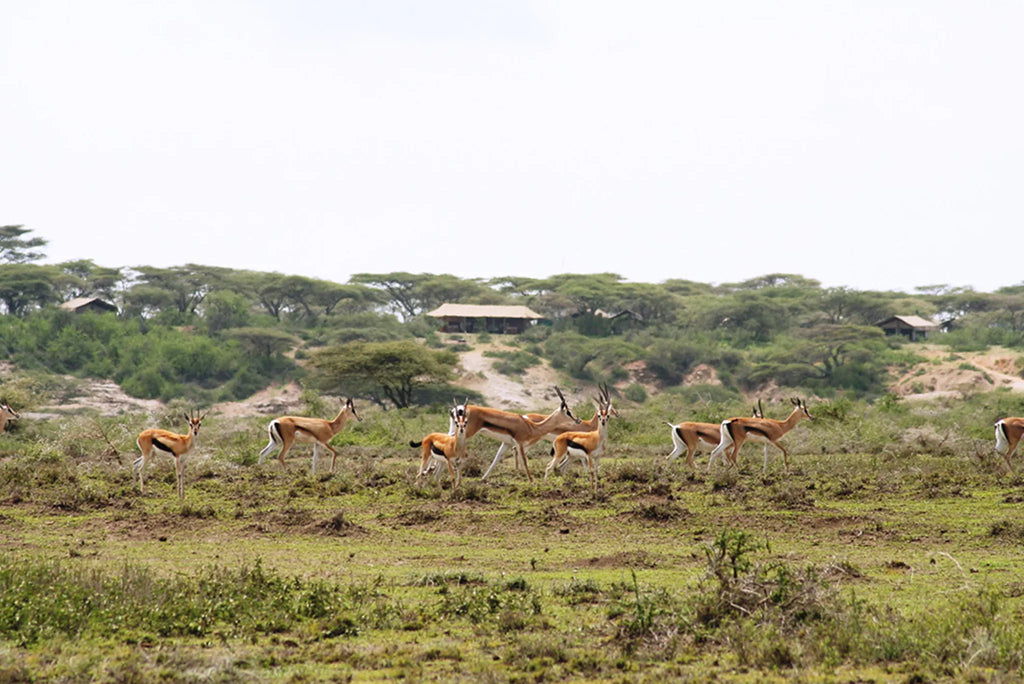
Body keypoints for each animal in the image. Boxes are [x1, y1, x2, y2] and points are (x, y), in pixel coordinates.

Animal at [452, 387, 581, 482]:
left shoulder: (507, 444)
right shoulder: (520, 443)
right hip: (465, 433)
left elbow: (496, 459)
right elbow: (524, 461)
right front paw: (531, 481)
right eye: (568, 412)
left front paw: (483, 479)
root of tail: (461, 409)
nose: (578, 420)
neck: (532, 426)